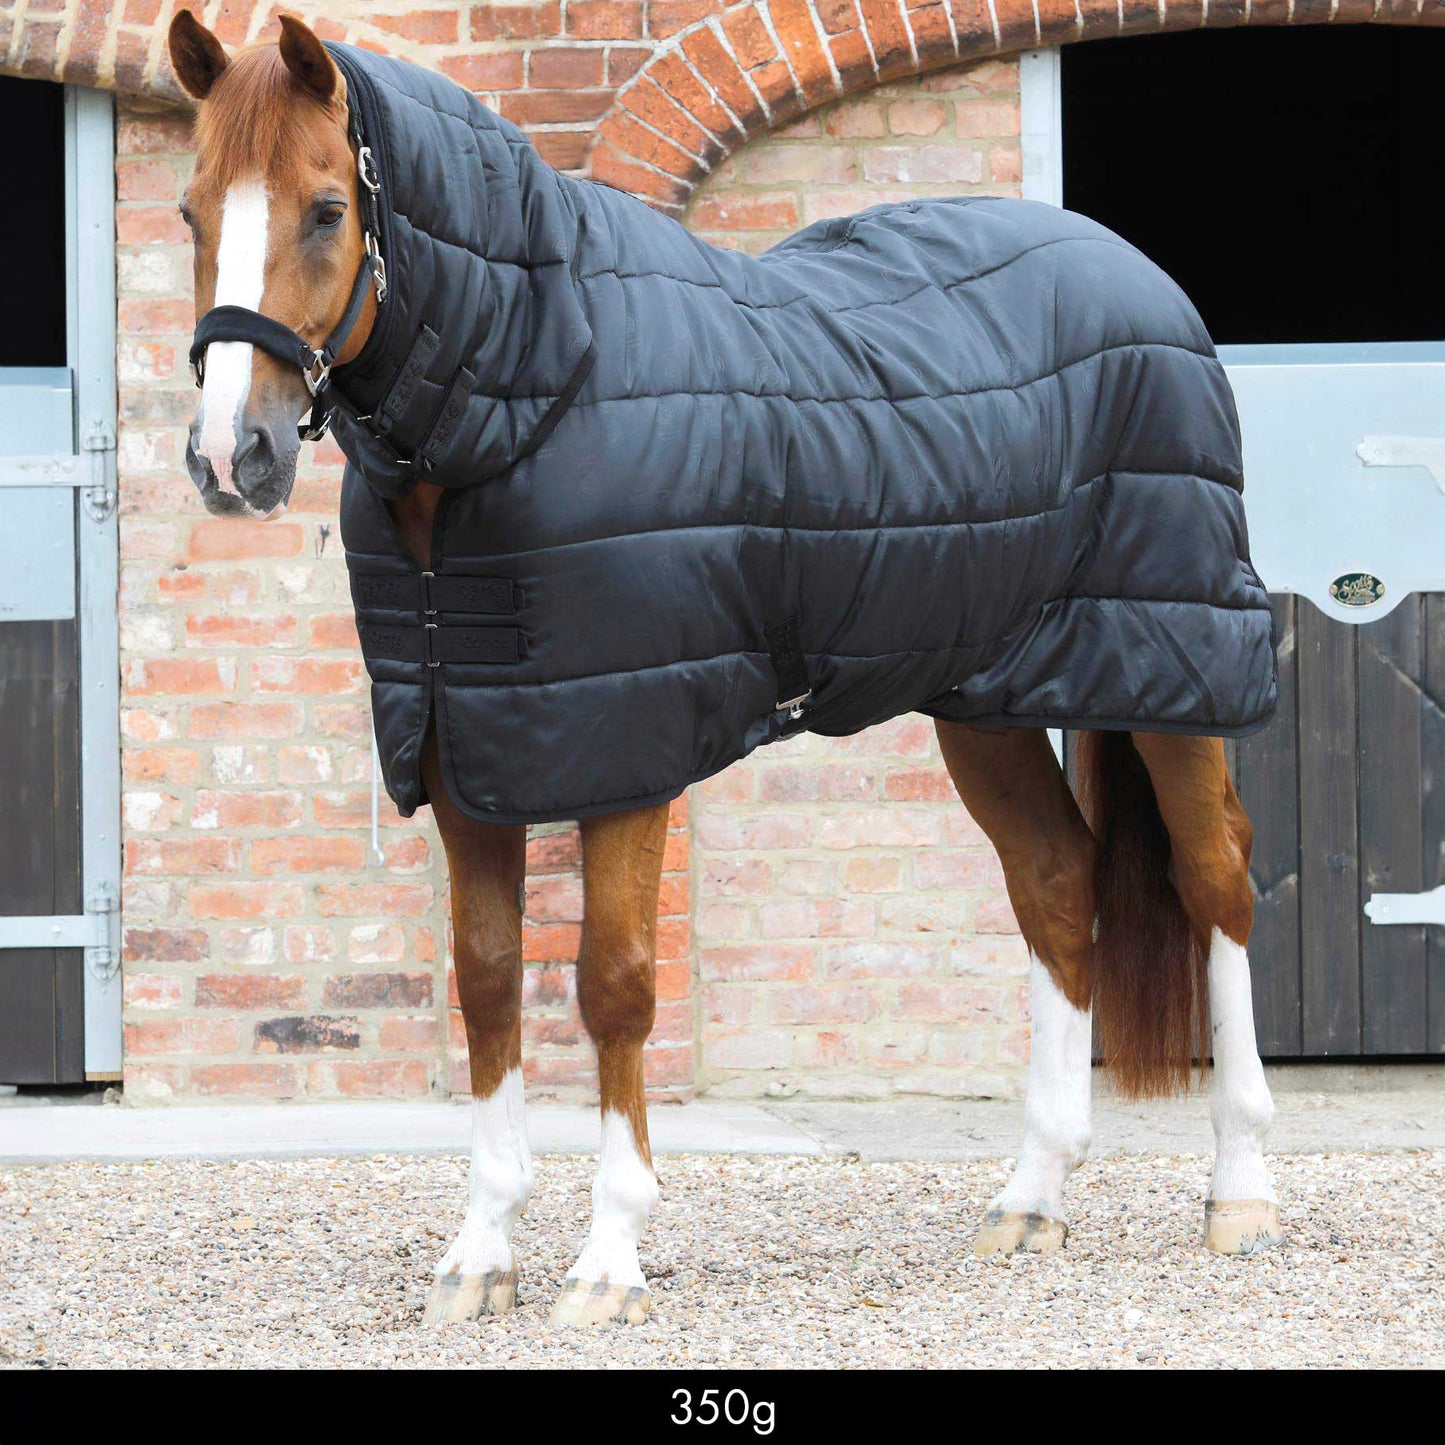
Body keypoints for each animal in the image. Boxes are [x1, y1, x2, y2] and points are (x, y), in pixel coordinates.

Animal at [167, 10, 1283, 1327]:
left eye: (328, 207)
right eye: (190, 210)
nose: (230, 457)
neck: (534, 389)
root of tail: (1137, 276)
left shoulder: (628, 753)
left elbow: (612, 983)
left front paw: (607, 1258)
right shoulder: (460, 752)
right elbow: (487, 981)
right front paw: (480, 1254)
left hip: (1175, 666)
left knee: (1215, 882)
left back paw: (1239, 1189)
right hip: (984, 698)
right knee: (1058, 885)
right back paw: (1030, 1197)